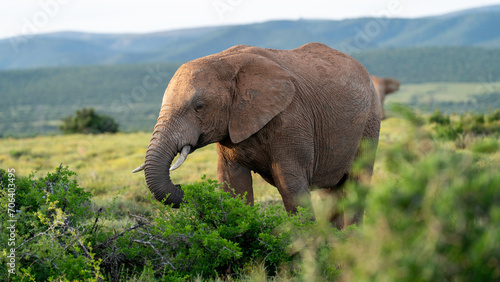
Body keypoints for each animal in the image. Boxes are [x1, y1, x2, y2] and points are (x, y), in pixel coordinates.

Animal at [135, 43, 380, 229]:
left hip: (370, 123)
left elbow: (291, 185)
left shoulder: (292, 118)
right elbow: (233, 184)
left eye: (199, 107)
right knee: (332, 190)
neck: (225, 61)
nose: (181, 187)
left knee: (357, 182)